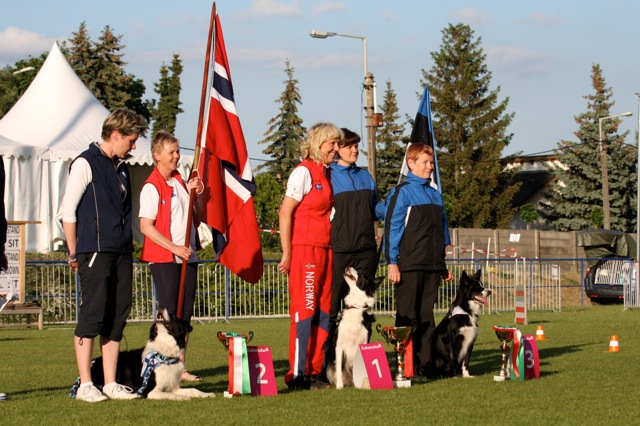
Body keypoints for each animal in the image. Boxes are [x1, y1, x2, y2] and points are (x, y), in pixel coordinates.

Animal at [87, 306, 215, 400]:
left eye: (173, 316)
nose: (160, 306)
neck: (165, 357)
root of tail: (92, 362)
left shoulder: (173, 386)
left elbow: (193, 390)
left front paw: (206, 394)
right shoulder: (150, 391)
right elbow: (170, 394)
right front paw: (182, 397)